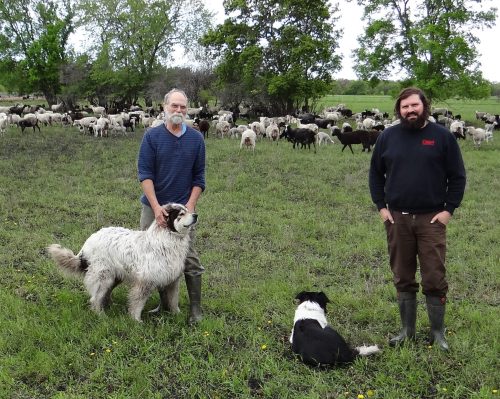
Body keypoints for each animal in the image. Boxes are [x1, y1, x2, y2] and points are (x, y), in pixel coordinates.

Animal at [47, 203, 197, 322]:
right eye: (181, 214)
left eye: (188, 210)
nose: (196, 215)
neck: (167, 238)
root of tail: (87, 243)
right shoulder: (144, 281)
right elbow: (137, 303)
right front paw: (136, 320)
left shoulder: (172, 280)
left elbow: (173, 300)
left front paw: (177, 315)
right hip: (103, 276)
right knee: (95, 299)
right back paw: (101, 316)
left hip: (114, 276)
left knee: (104, 294)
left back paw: (109, 306)